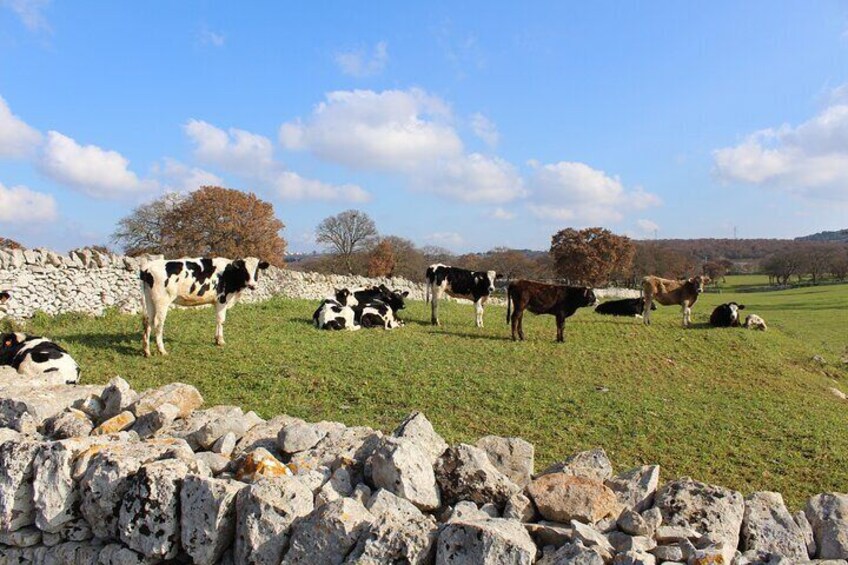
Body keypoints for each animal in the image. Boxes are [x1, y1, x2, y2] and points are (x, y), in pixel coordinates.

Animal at [140, 256, 268, 354]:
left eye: (257, 270)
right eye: (244, 270)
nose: (252, 285)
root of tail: (148, 267)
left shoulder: (216, 301)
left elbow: (217, 320)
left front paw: (216, 339)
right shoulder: (222, 300)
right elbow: (221, 320)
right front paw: (221, 341)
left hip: (150, 300)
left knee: (148, 321)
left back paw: (147, 351)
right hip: (162, 301)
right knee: (158, 323)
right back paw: (162, 350)